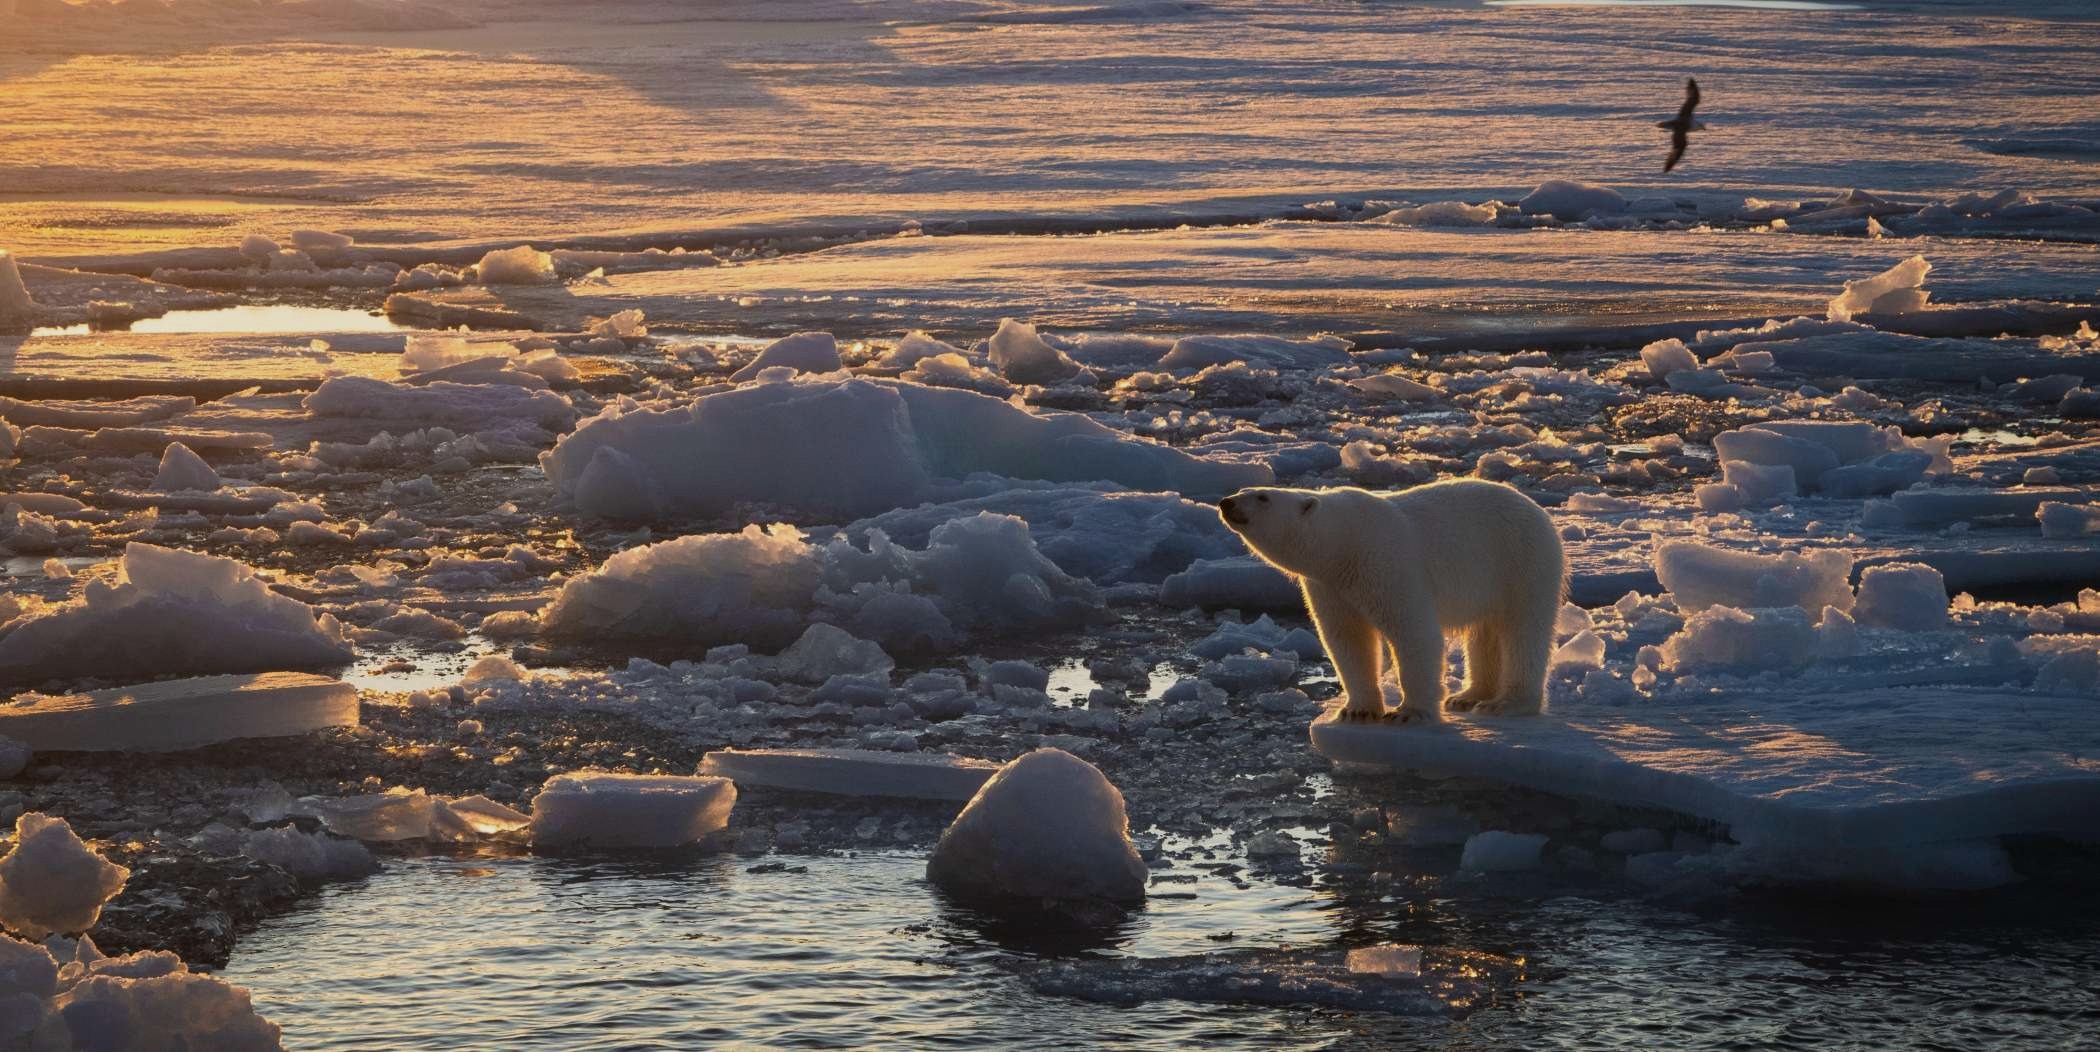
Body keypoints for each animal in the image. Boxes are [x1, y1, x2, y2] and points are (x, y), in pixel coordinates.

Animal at [1217, 479, 1565, 723]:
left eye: (1263, 497)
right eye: (1243, 489)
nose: (1226, 502)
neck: (1345, 543)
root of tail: (1539, 511)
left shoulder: (1385, 563)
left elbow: (1412, 631)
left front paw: (1408, 712)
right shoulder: (1330, 586)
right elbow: (1347, 639)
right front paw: (1358, 711)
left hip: (1522, 562)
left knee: (1523, 631)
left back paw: (1505, 703)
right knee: (1484, 633)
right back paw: (1467, 697)